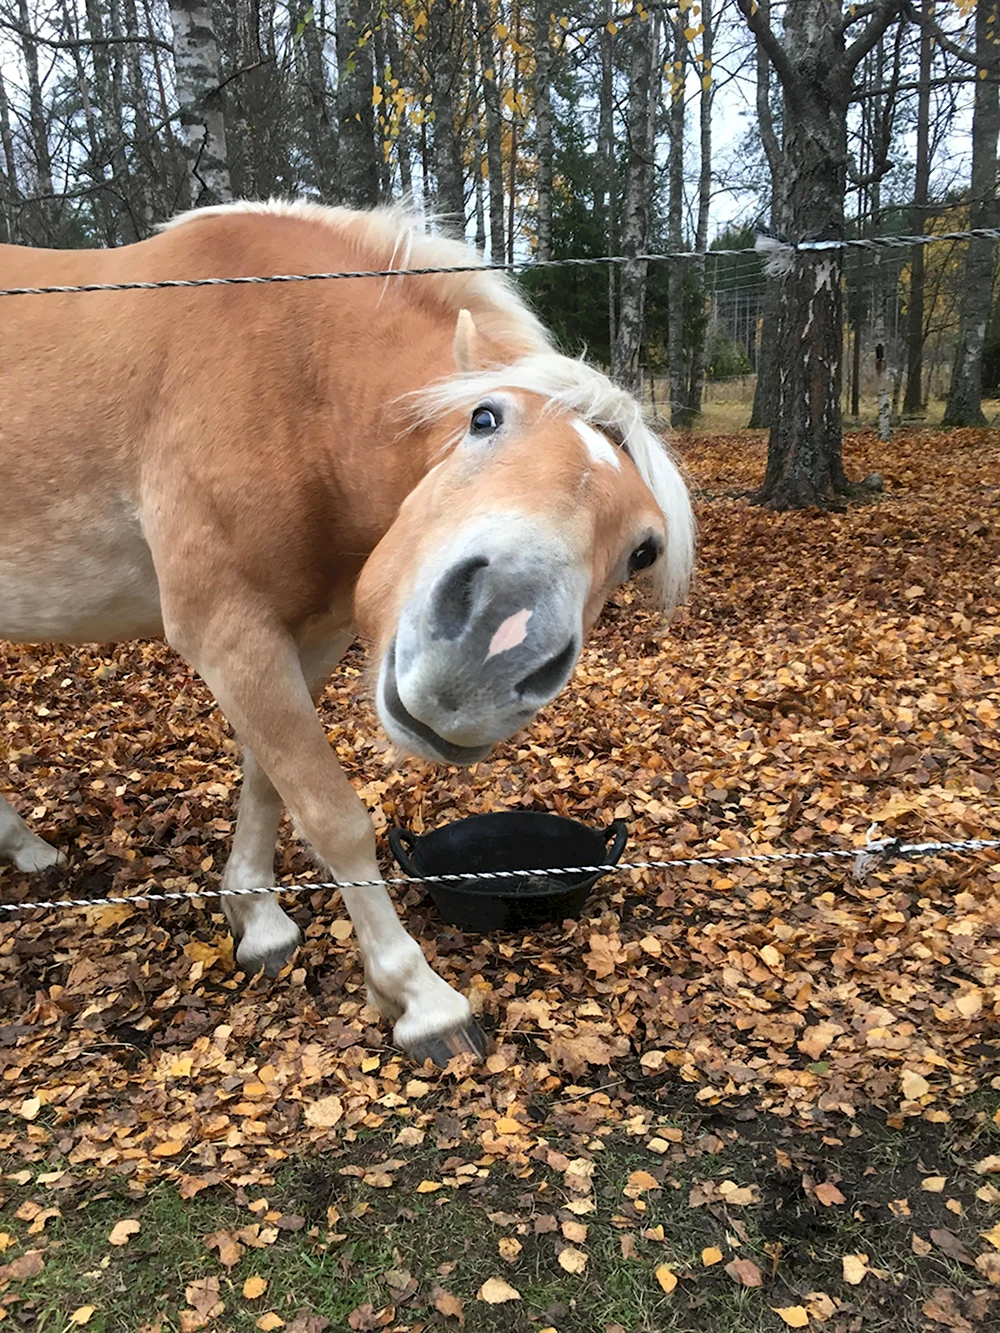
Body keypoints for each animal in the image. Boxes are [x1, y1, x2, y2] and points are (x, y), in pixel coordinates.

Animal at [0, 199, 698, 1071]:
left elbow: (269, 782)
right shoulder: (226, 630)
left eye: (643, 550)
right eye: (484, 418)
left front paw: (258, 919)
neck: (293, 376)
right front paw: (420, 997)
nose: (493, 644)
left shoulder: (307, 637)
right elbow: (333, 813)